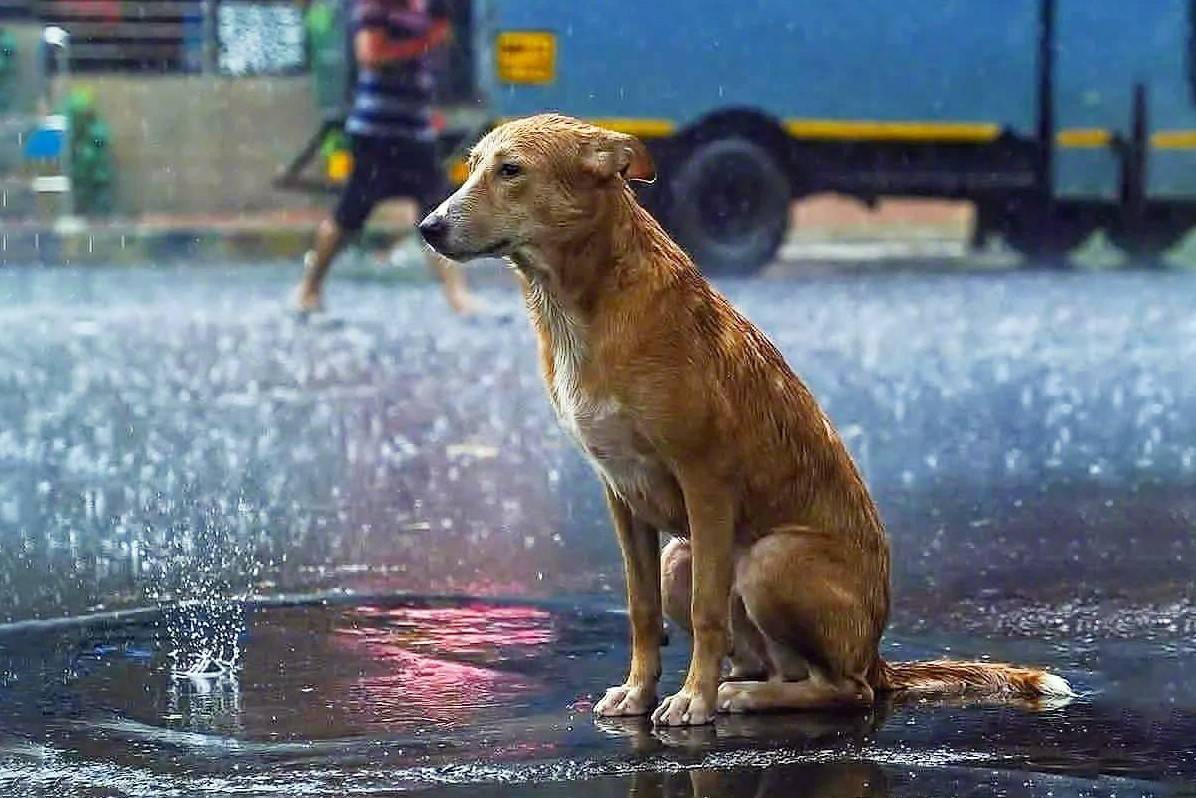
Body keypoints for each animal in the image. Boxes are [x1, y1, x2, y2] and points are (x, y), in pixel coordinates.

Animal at [420, 115, 1076, 727]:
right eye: (471, 166)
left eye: (511, 170)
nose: (428, 227)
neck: (581, 302)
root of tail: (879, 657)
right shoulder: (620, 493)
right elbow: (640, 609)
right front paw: (639, 691)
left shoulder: (705, 480)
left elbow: (708, 611)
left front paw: (693, 700)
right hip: (679, 558)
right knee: (772, 665)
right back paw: (742, 687)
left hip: (771, 560)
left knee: (844, 690)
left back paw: (736, 696)